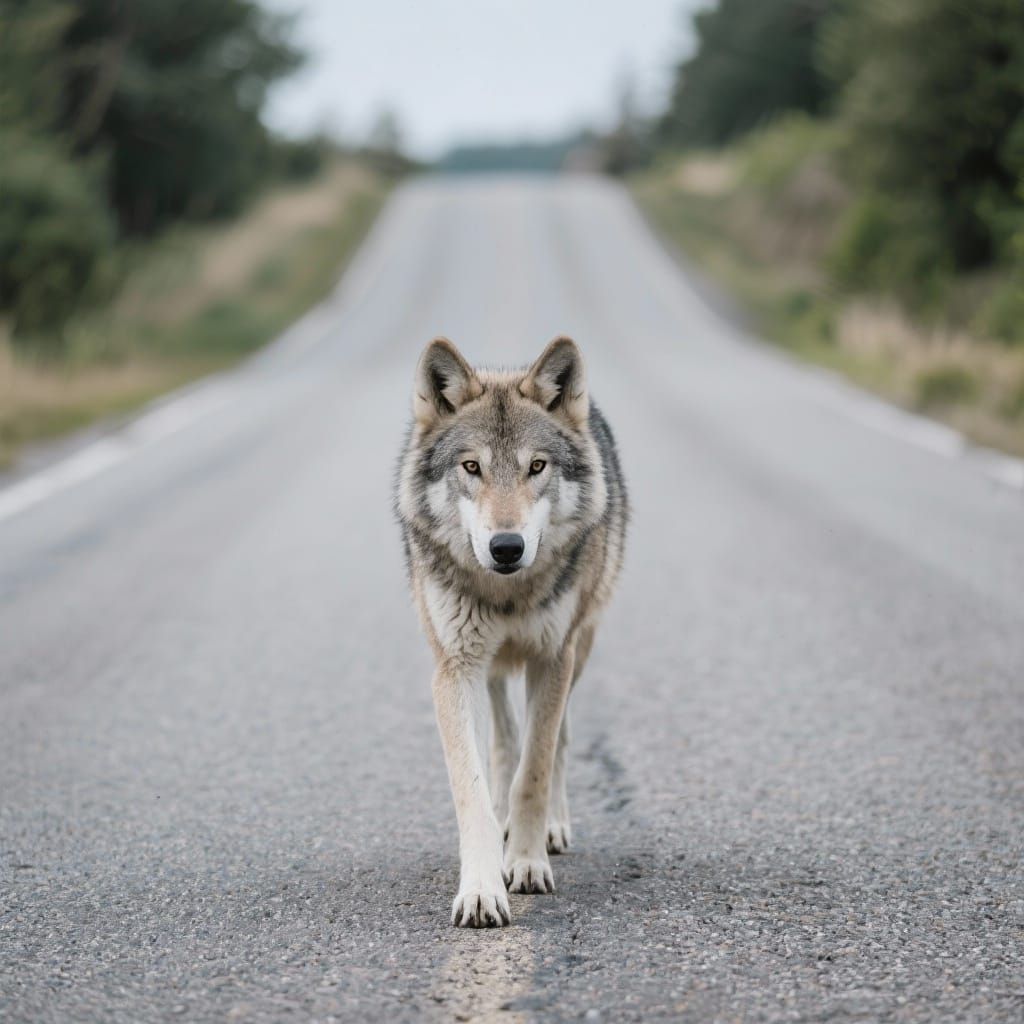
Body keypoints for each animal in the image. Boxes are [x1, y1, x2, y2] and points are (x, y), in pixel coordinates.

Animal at [396, 336, 628, 927]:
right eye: (471, 467)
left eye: (537, 466)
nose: (506, 547)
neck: (506, 597)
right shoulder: (455, 669)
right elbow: (474, 787)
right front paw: (482, 889)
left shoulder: (553, 658)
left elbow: (536, 767)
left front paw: (525, 862)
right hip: (493, 668)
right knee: (502, 740)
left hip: (579, 649)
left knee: (559, 740)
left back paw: (553, 829)